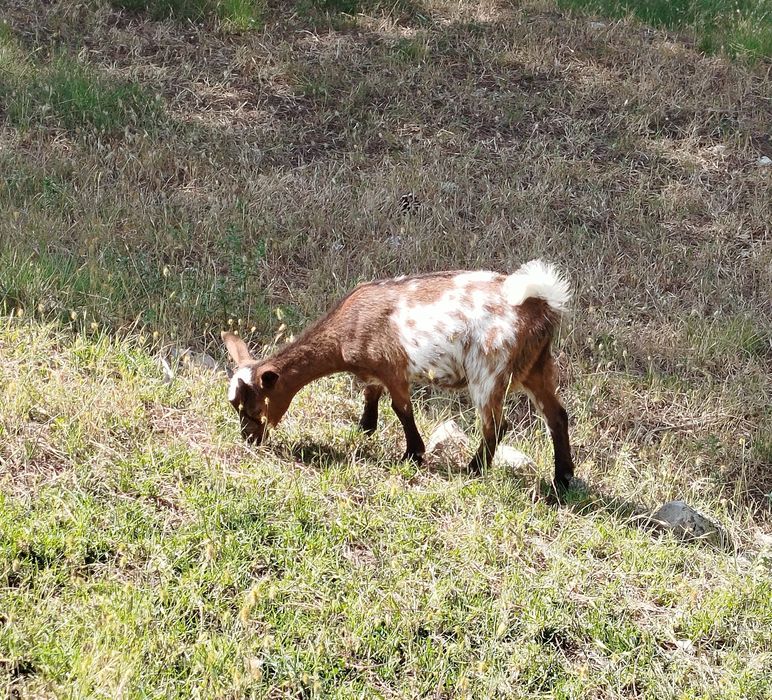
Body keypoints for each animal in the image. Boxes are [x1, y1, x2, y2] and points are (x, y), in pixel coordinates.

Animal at [222, 259, 574, 487]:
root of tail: (539, 304)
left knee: (497, 426)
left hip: (488, 370)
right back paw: (563, 478)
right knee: (557, 416)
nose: (249, 439)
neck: (347, 329)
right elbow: (370, 395)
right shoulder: (375, 372)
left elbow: (401, 408)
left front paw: (413, 454)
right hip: (537, 367)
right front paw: (364, 429)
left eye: (254, 407)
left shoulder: (393, 367)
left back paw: (473, 469)